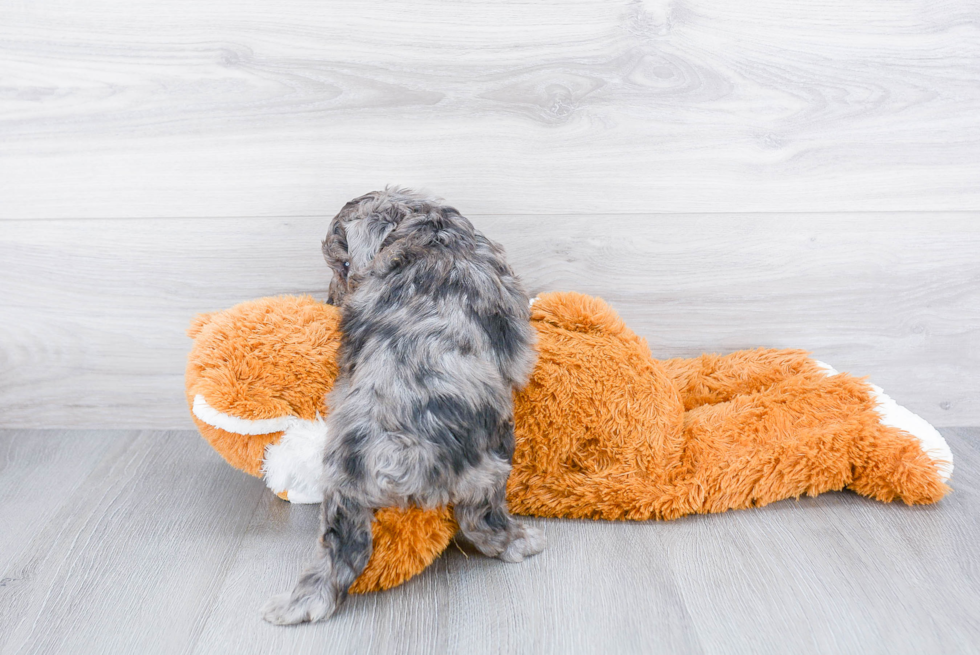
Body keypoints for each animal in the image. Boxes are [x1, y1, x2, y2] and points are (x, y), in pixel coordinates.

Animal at [262, 186, 544, 624]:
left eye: (345, 264)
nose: (329, 302)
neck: (430, 236)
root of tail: (391, 455)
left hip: (341, 500)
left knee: (340, 552)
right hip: (490, 466)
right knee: (481, 522)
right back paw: (521, 541)